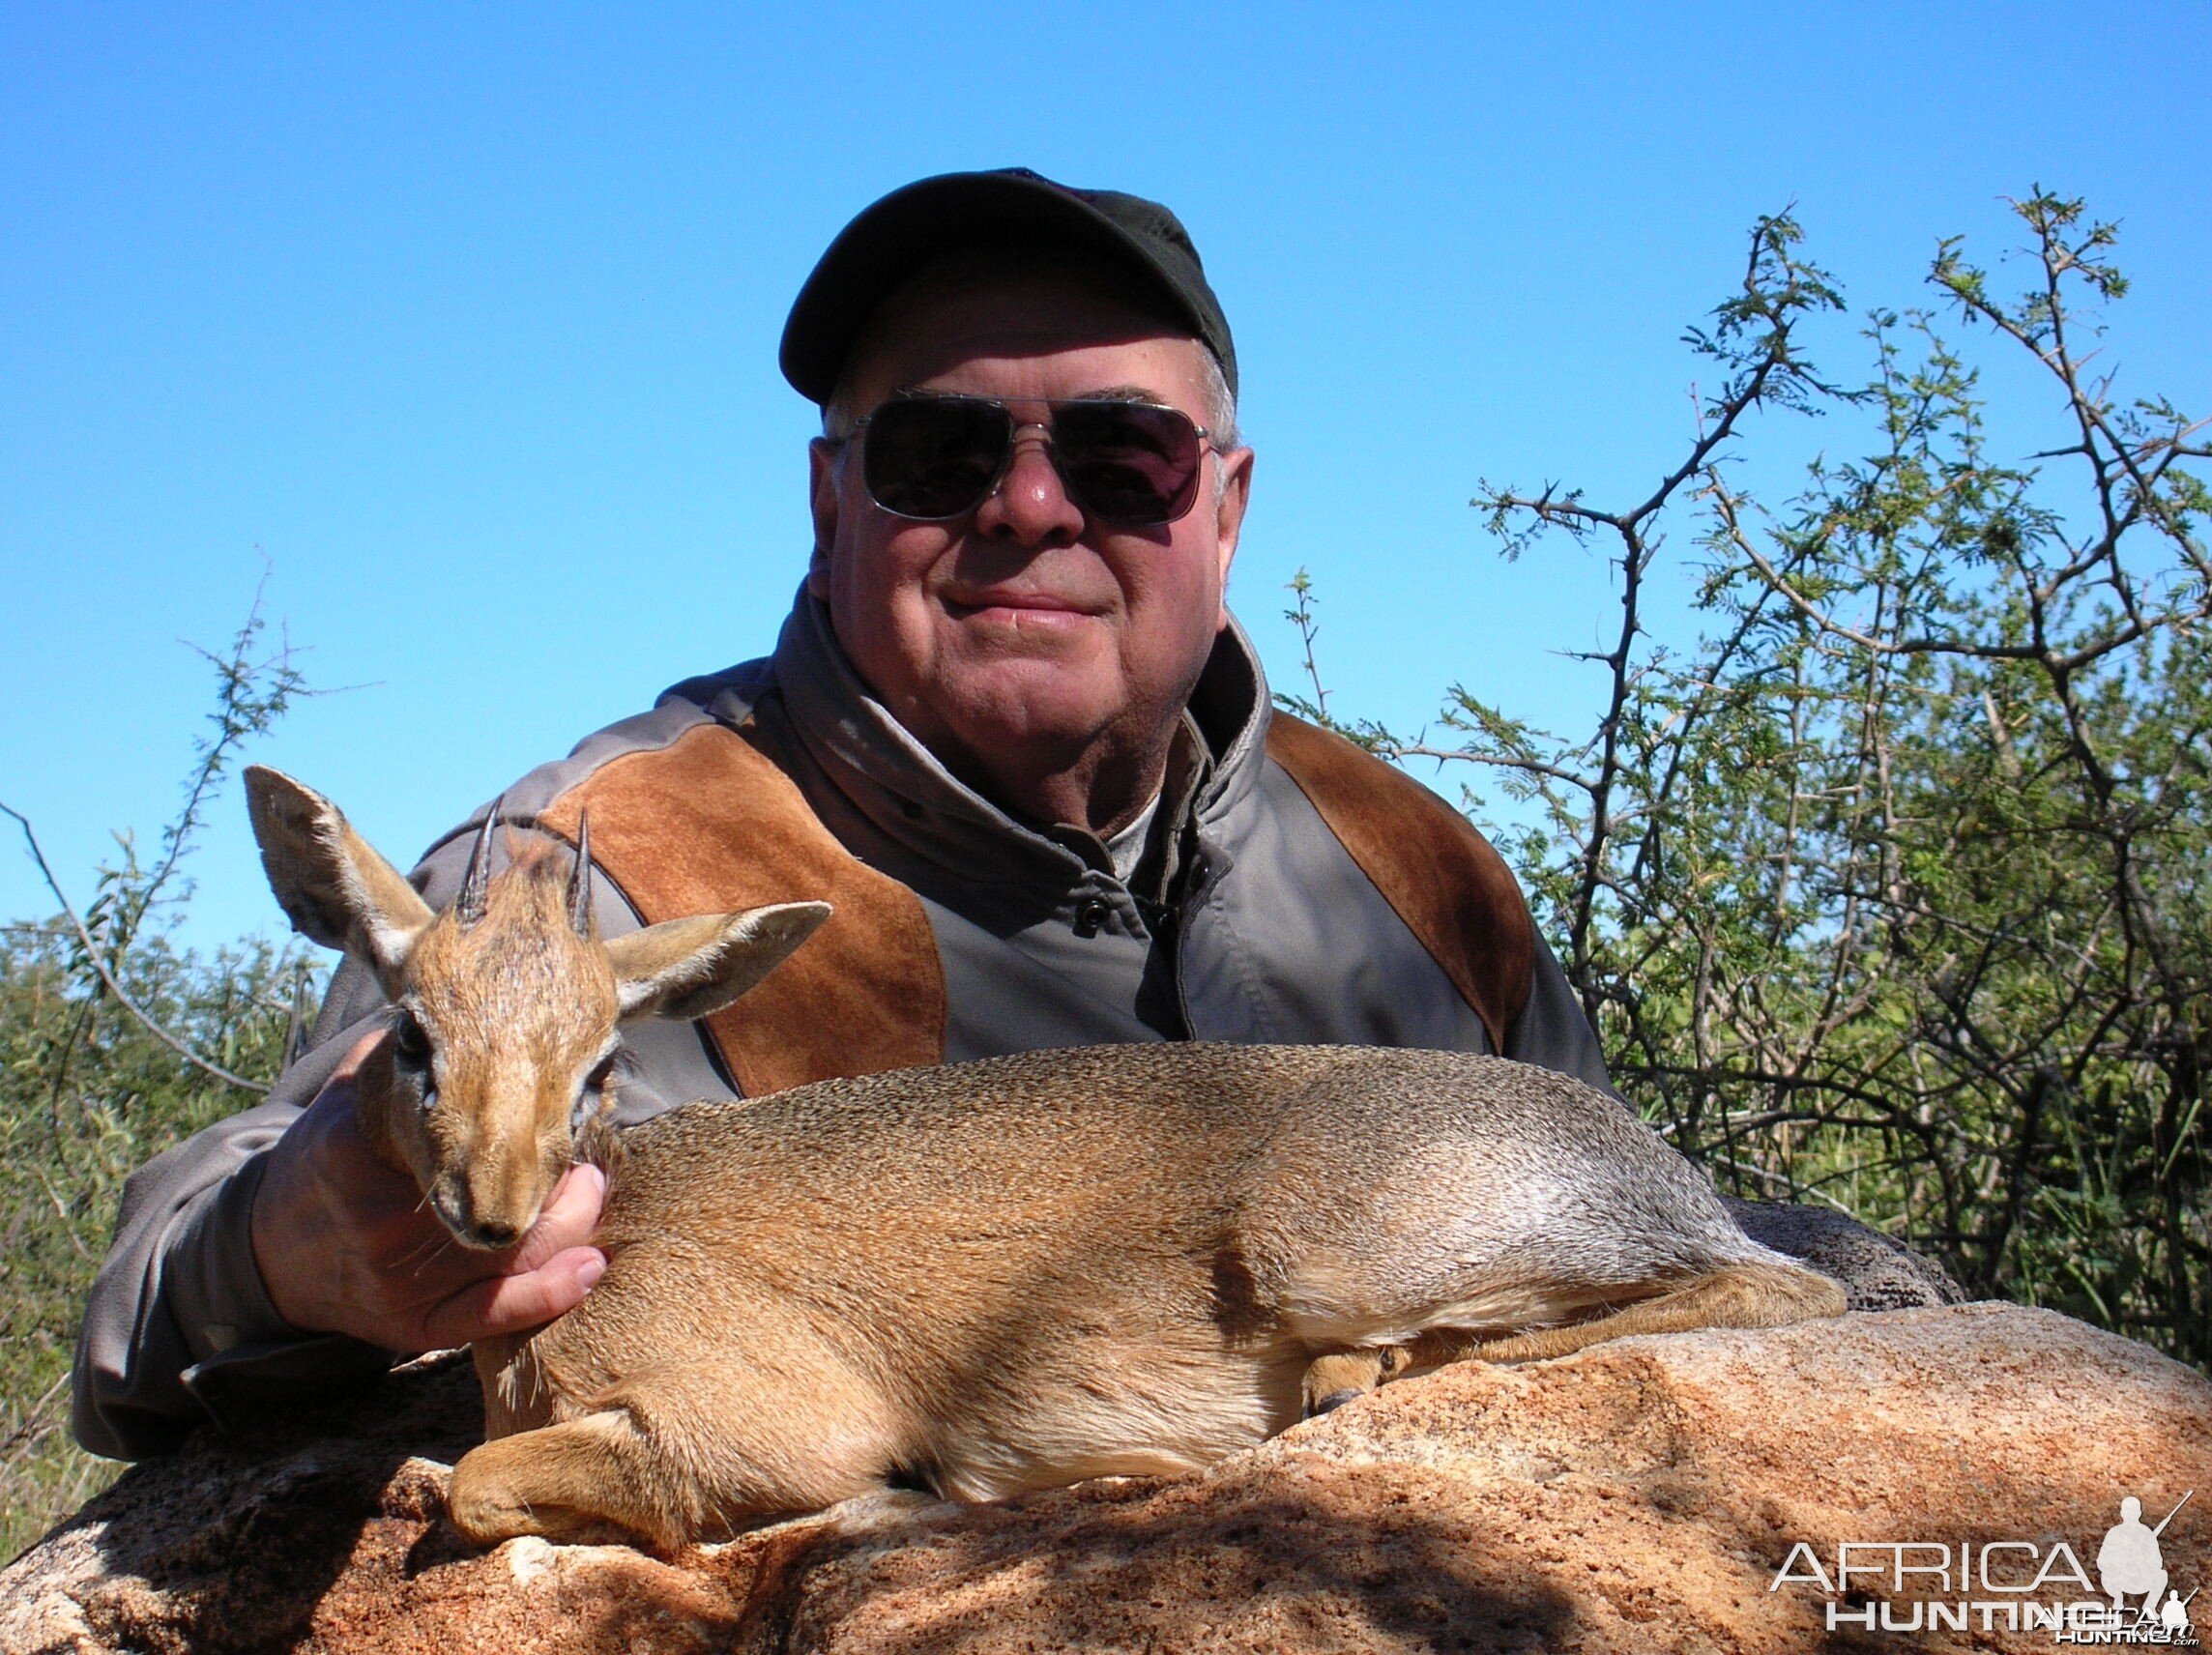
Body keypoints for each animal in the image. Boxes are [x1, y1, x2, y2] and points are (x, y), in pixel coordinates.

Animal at [247, 761, 1848, 1549]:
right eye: (411, 1038)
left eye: (599, 1065)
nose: (495, 1207)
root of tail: (1652, 1162)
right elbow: (473, 1480)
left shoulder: (768, 1424)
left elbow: (475, 1488)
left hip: (1331, 1245)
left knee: (1780, 1291)